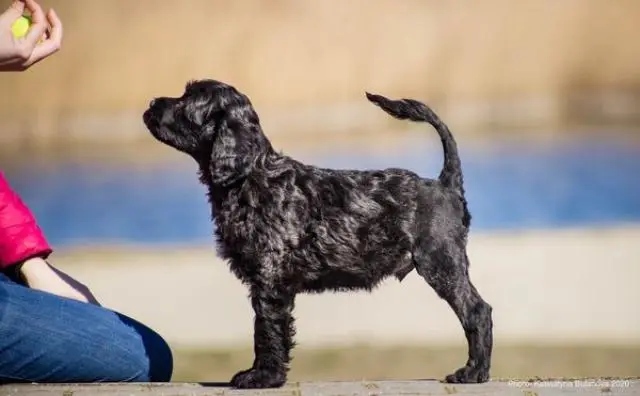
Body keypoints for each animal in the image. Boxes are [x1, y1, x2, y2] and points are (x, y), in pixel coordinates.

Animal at [144, 79, 496, 388]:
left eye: (189, 99)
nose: (151, 104)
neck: (251, 176)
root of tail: (445, 183)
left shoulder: (270, 278)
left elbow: (266, 330)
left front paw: (262, 377)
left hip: (440, 263)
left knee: (478, 312)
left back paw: (473, 373)